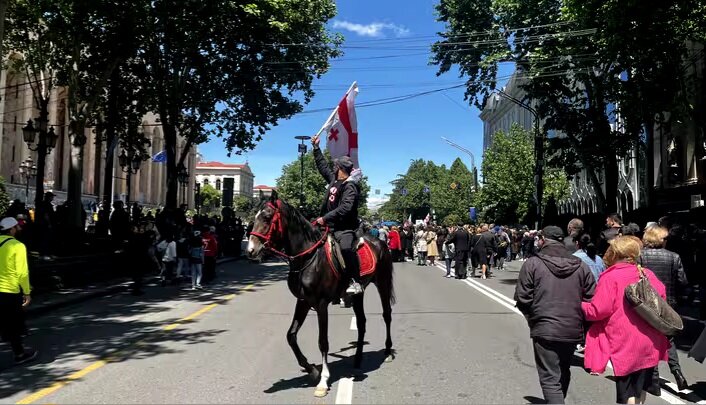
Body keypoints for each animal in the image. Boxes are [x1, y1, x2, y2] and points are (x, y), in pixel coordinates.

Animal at [245, 192, 394, 394]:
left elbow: (322, 341)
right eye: (254, 218)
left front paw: (323, 380)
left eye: (267, 217)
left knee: (387, 315)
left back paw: (387, 351)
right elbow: (291, 335)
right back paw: (357, 359)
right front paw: (312, 370)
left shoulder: (321, 304)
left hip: (383, 283)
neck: (308, 257)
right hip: (359, 294)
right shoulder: (303, 301)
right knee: (361, 322)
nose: (251, 250)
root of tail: (379, 241)